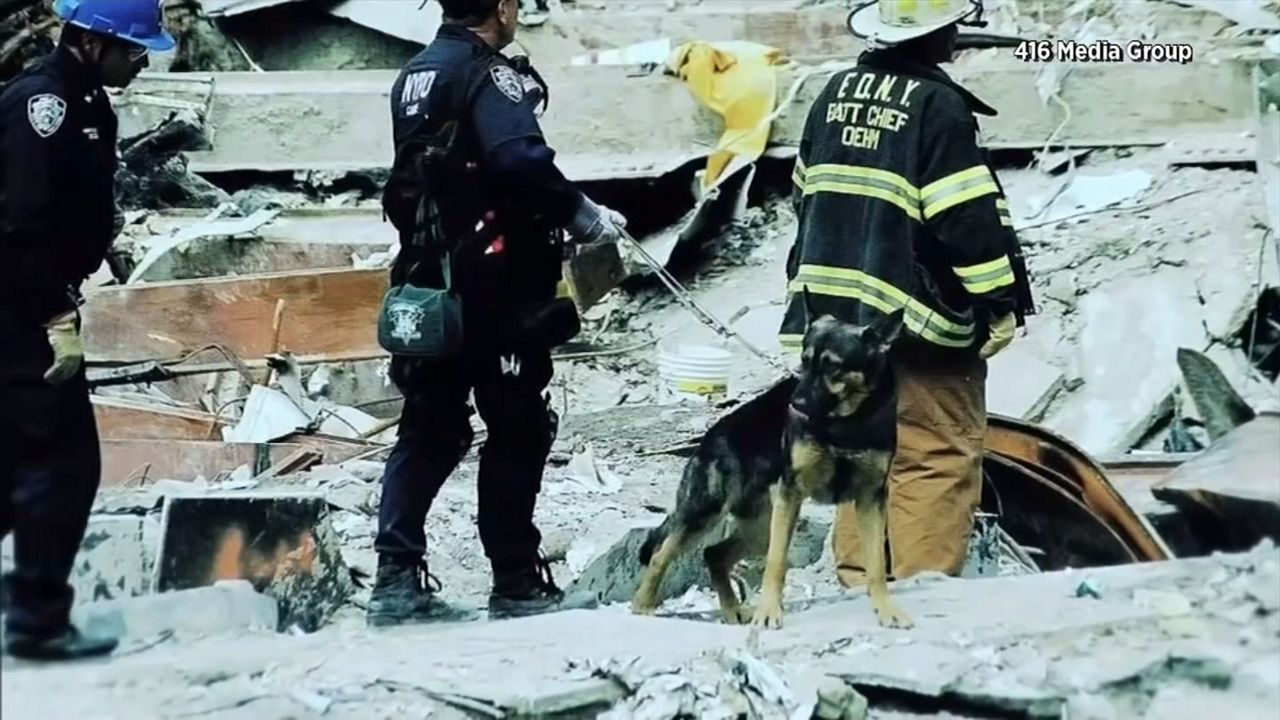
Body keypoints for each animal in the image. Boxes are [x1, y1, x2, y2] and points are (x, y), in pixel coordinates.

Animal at [629, 292, 911, 627]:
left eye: (834, 367)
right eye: (804, 360)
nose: (796, 405)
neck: (845, 422)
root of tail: (708, 439)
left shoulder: (870, 499)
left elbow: (877, 565)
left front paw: (886, 609)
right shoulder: (791, 494)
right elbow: (776, 563)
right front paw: (769, 614)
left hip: (760, 527)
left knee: (714, 555)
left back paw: (732, 610)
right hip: (708, 513)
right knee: (661, 555)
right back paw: (642, 606)